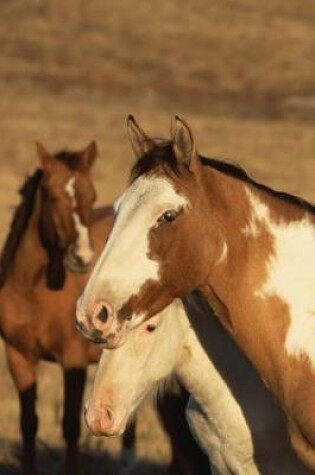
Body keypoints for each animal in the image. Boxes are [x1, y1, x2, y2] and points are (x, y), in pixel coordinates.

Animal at [0, 143, 210, 475]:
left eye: (91, 197)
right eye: (51, 195)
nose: (82, 257)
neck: (33, 293)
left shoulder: (72, 360)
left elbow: (70, 426)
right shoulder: (18, 357)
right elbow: (29, 424)